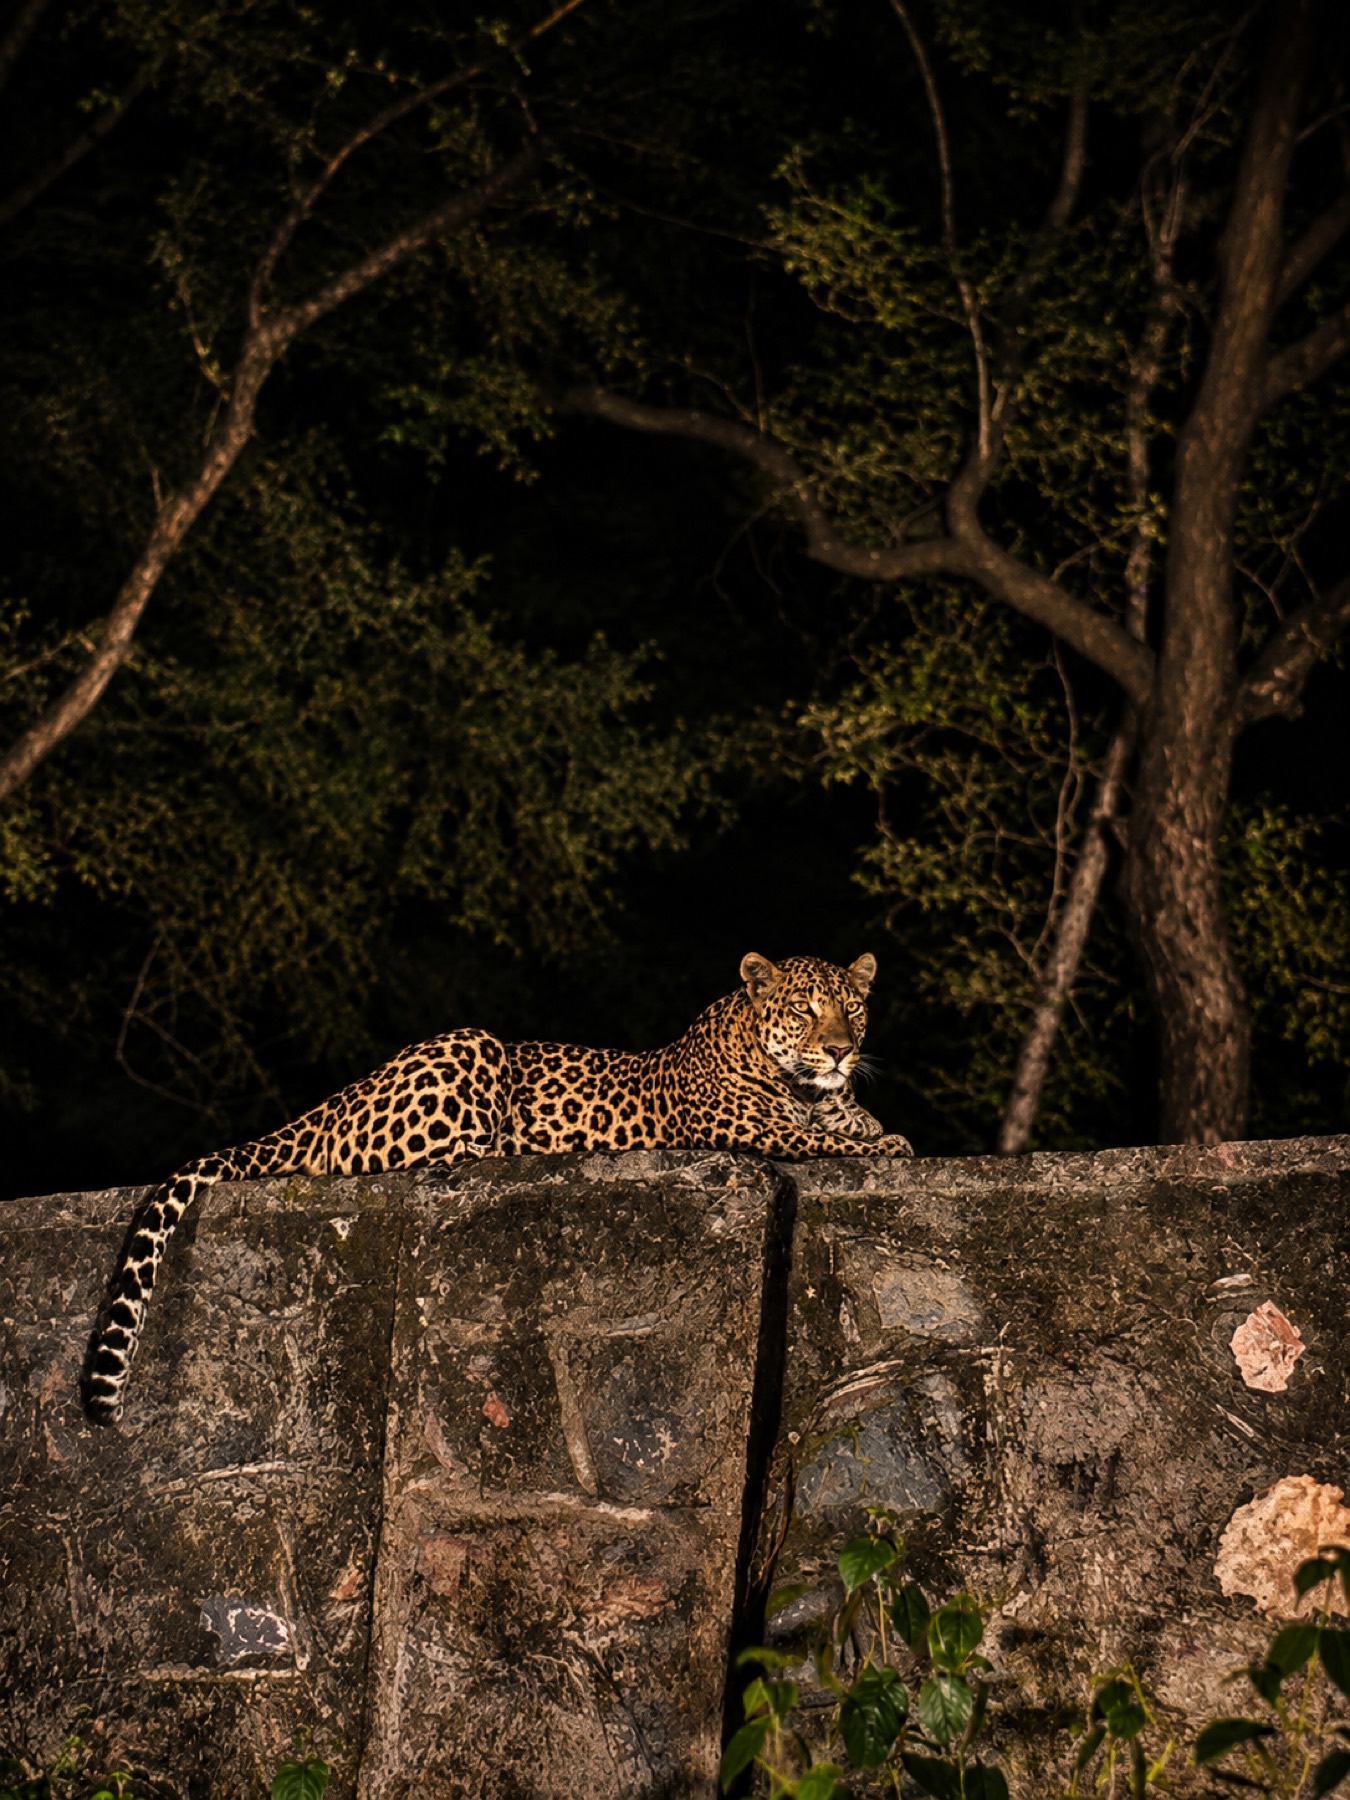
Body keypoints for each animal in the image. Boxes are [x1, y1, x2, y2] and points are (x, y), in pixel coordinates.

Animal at [84, 949, 911, 1423]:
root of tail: (331, 1100)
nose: (841, 1050)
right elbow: (824, 1140)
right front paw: (886, 1143)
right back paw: (496, 1146)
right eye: (804, 1009)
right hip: (469, 1045)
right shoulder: (748, 1128)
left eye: (854, 1008)